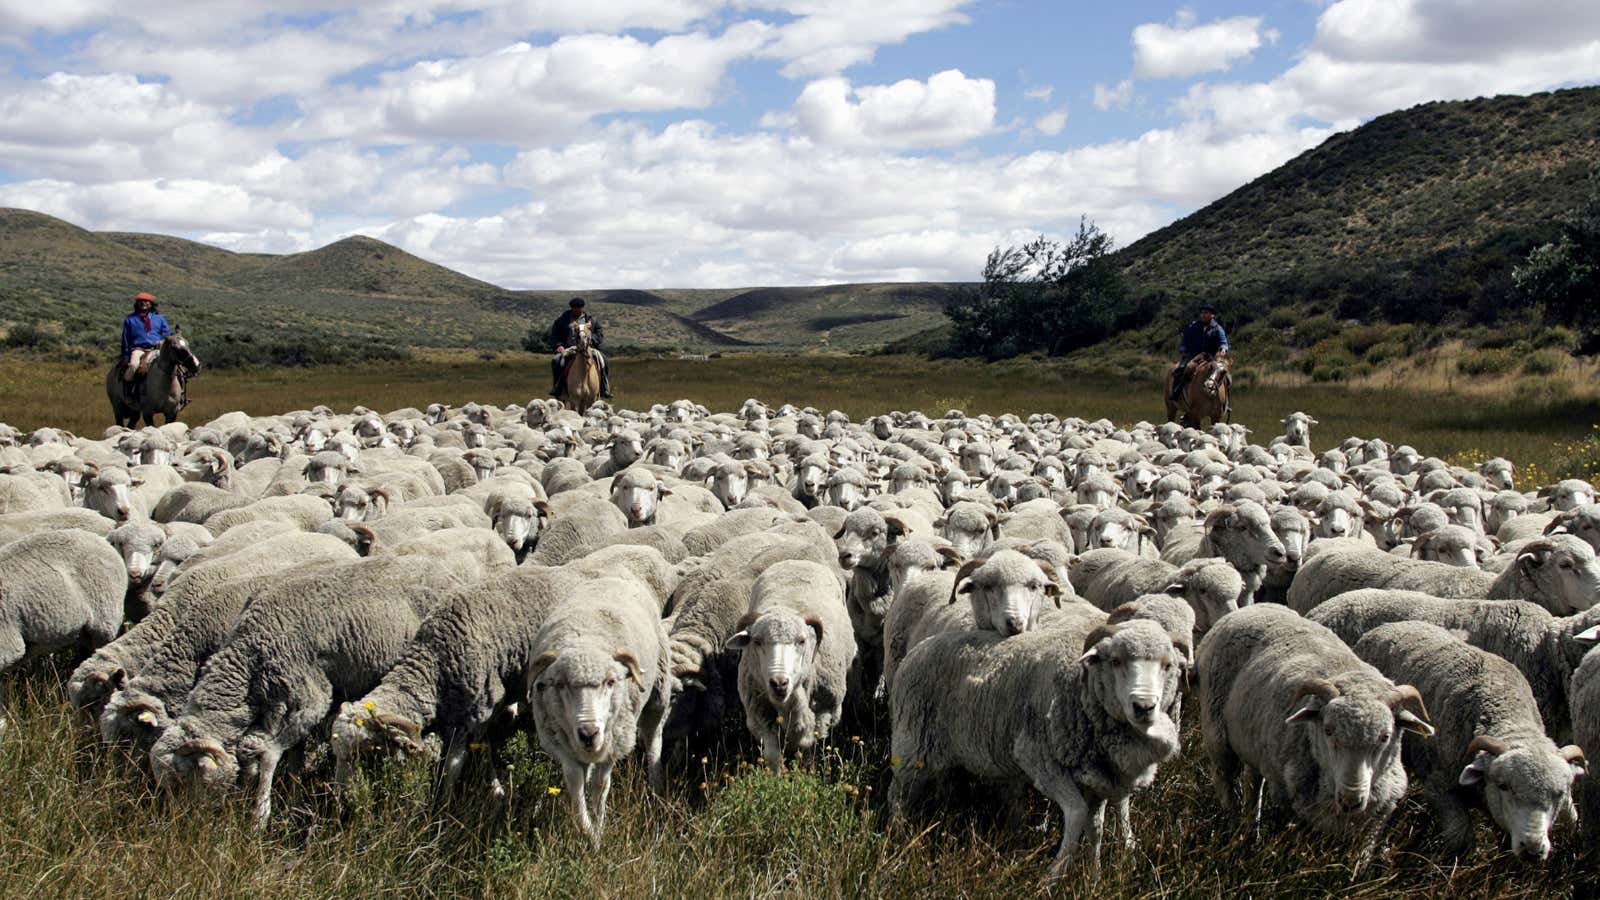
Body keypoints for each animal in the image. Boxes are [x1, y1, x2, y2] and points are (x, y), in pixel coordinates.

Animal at [723, 557, 851, 768]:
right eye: (757, 642)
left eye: (802, 641)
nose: (779, 683)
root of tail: (797, 561)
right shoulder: (761, 717)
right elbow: (773, 756)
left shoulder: (823, 714)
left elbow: (808, 752)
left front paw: (807, 773)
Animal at [896, 611, 1184, 871]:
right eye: (1115, 661)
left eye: (1167, 665)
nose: (1144, 706)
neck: (1083, 689)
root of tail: (920, 647)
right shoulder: (1041, 763)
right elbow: (1077, 814)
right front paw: (1054, 875)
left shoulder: (1098, 778)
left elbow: (1096, 828)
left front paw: (1094, 874)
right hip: (912, 744)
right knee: (898, 794)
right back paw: (897, 836)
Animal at [1196, 602, 1433, 864]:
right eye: (1328, 731)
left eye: (1385, 736)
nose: (1351, 800)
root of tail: (1253, 607)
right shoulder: (1288, 802)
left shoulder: (1377, 818)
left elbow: (1359, 862)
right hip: (1217, 735)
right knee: (1224, 780)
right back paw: (1233, 827)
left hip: (1255, 744)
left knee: (1253, 782)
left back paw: (1251, 828)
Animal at [1350, 614, 1587, 851]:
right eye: (1504, 786)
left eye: (1559, 794)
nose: (1532, 848)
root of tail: (1389, 626)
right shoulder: (1440, 788)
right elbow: (1460, 838)